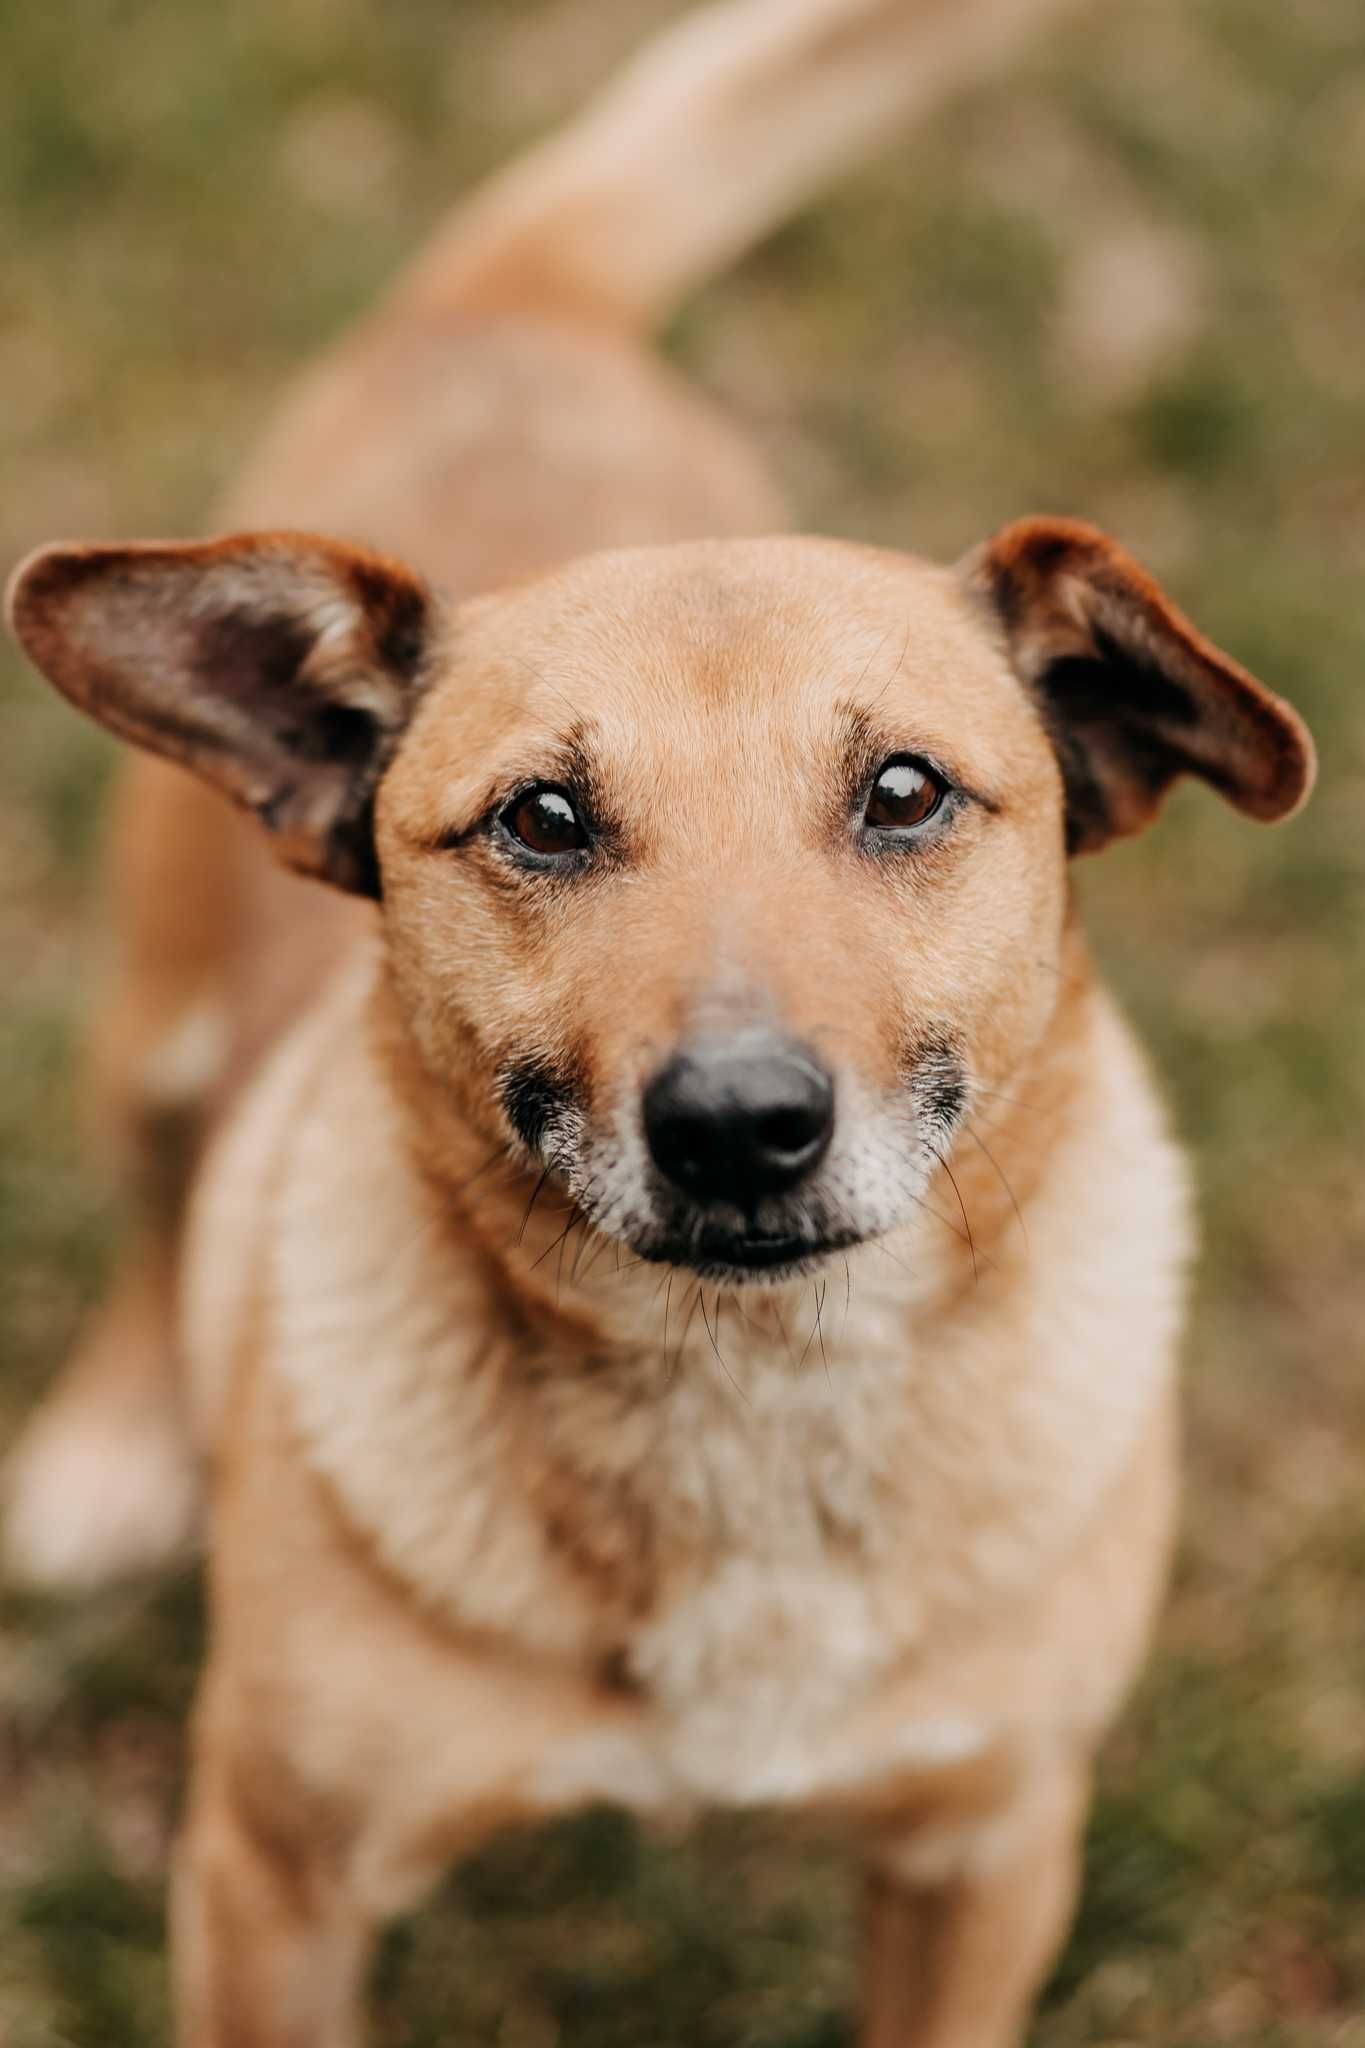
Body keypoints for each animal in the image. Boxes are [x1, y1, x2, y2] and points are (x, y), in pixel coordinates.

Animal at [5, 4, 1317, 2048]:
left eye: (906, 792)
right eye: (542, 818)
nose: (740, 1123)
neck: (750, 1392)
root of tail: (514, 302)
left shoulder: (987, 1853)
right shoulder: (268, 1881)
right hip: (150, 1030)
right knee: (162, 1209)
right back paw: (111, 1447)